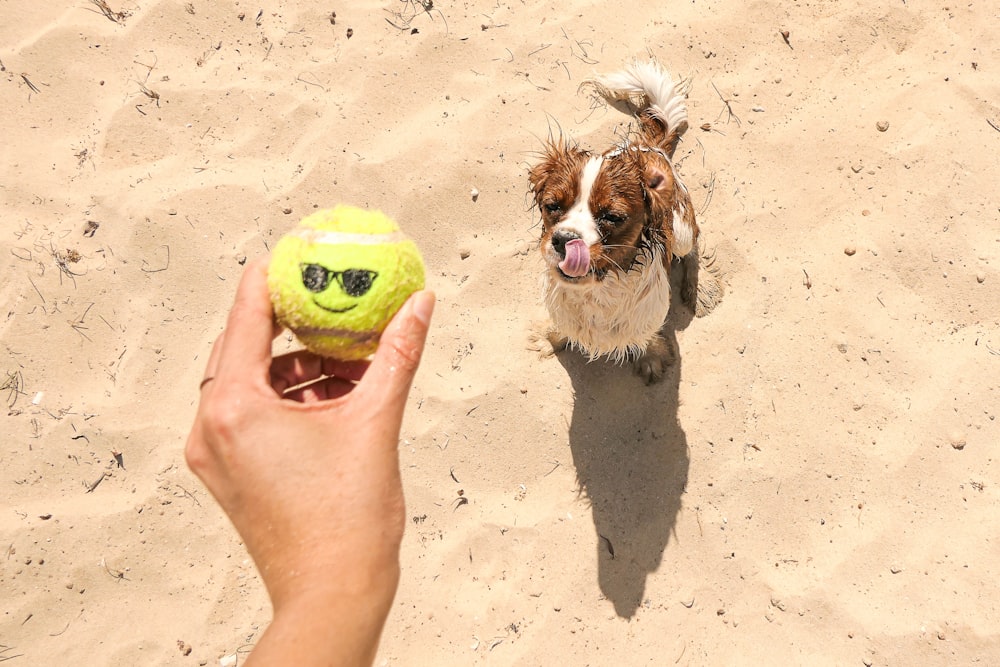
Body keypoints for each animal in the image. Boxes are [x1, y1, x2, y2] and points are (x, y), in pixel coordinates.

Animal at [532, 62, 720, 386]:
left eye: (612, 216)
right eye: (552, 206)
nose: (563, 240)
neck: (597, 290)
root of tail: (648, 147)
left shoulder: (651, 312)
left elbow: (647, 335)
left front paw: (651, 359)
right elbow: (560, 327)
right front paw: (549, 339)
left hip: (681, 230)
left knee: (694, 245)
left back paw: (701, 289)